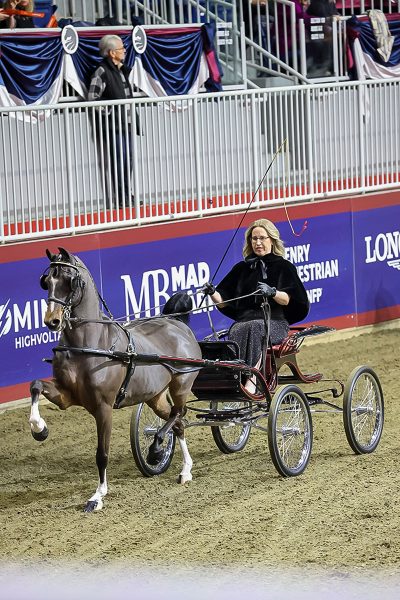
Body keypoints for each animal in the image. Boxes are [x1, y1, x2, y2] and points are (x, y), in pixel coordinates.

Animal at [29, 246, 202, 512]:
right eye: (46, 281)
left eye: (70, 280)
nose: (52, 321)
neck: (90, 344)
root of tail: (178, 325)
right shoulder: (66, 396)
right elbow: (36, 386)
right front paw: (39, 428)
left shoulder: (103, 407)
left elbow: (102, 453)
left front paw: (98, 496)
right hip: (155, 397)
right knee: (179, 422)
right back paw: (185, 470)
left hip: (181, 386)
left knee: (178, 414)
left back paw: (156, 449)